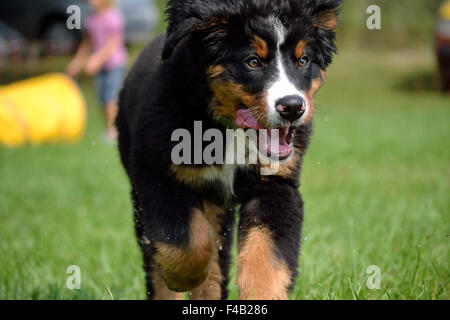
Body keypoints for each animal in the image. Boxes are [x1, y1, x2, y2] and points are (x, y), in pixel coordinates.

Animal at [116, 0, 342, 300]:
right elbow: (187, 245)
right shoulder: (157, 175)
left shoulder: (276, 186)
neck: (229, 131)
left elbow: (266, 258)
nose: (292, 107)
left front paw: (262, 295)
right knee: (159, 257)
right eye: (253, 61)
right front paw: (181, 278)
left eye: (303, 60)